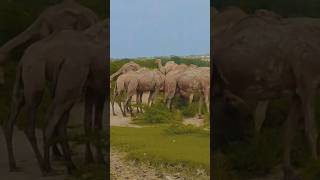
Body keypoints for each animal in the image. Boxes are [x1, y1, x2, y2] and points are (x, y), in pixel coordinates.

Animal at [1, 19, 109, 174]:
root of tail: (23, 60)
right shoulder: (99, 89)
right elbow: (96, 125)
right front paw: (99, 161)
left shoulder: (92, 89)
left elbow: (89, 122)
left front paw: (91, 160)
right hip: (48, 86)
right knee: (44, 122)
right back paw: (47, 167)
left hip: (26, 85)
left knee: (13, 119)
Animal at [212, 6, 320, 179]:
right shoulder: (308, 83)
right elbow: (311, 130)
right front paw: (315, 166)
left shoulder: (297, 91)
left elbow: (288, 131)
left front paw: (288, 170)